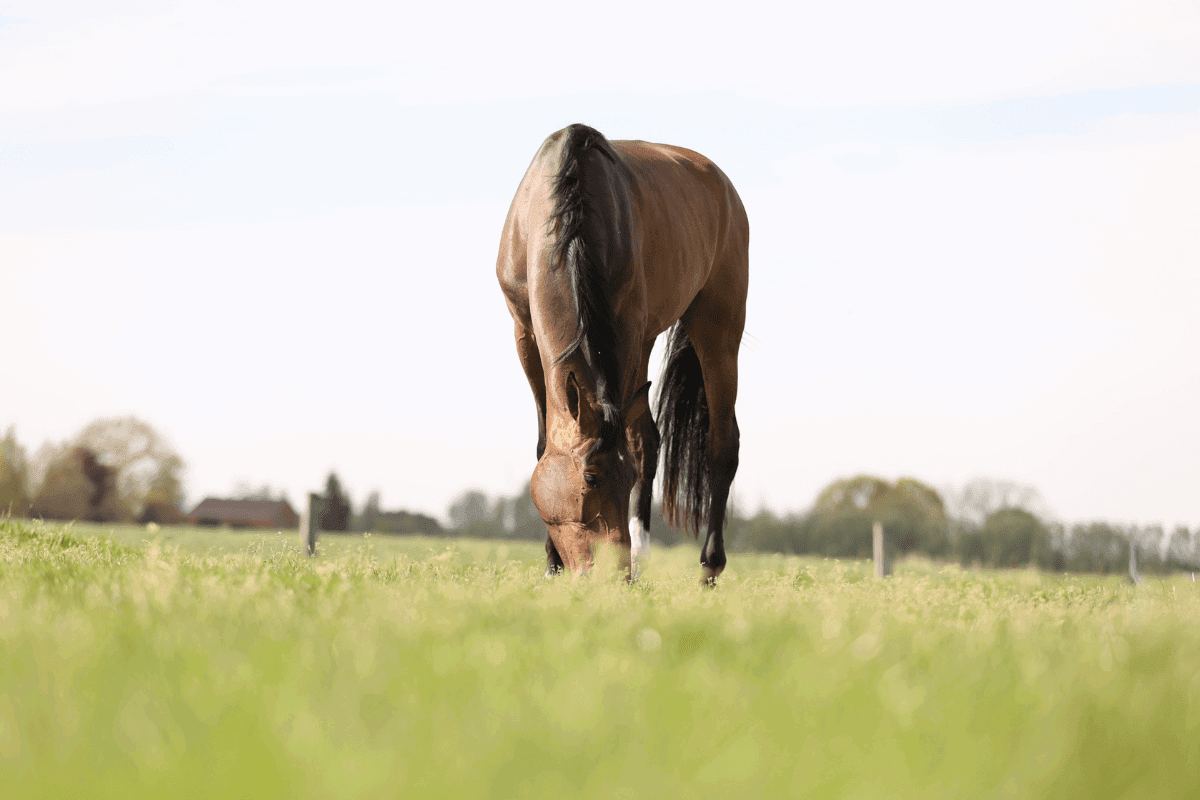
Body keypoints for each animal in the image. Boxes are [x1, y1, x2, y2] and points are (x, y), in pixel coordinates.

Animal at [495, 123, 748, 584]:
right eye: (591, 478)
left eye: (624, 477)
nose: (613, 576)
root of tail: (723, 186)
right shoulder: (524, 333)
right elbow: (545, 443)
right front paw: (551, 563)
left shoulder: (626, 329)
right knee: (649, 436)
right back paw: (643, 558)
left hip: (717, 329)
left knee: (722, 442)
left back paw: (708, 566)